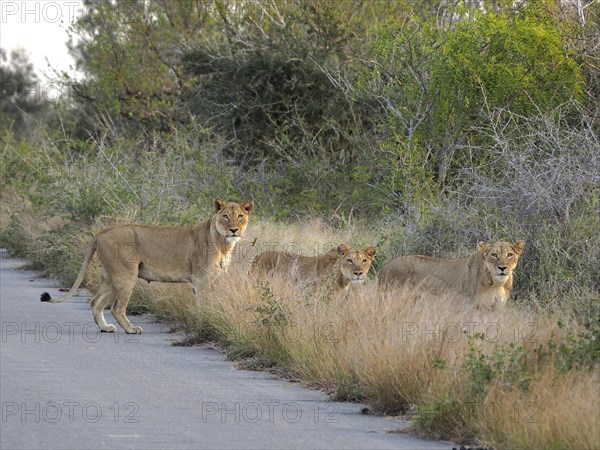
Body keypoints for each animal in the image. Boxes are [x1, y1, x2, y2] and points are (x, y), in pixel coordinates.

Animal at [48, 199, 251, 332]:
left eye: (240, 216)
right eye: (225, 216)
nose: (234, 230)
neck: (224, 244)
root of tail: (102, 231)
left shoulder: (215, 280)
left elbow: (213, 303)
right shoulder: (201, 280)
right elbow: (203, 305)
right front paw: (205, 324)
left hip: (109, 276)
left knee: (95, 302)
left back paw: (105, 328)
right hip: (125, 275)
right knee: (116, 307)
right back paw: (131, 329)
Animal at [380, 241, 524, 308]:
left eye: (509, 255)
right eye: (494, 255)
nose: (502, 268)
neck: (497, 284)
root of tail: (384, 266)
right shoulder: (471, 307)